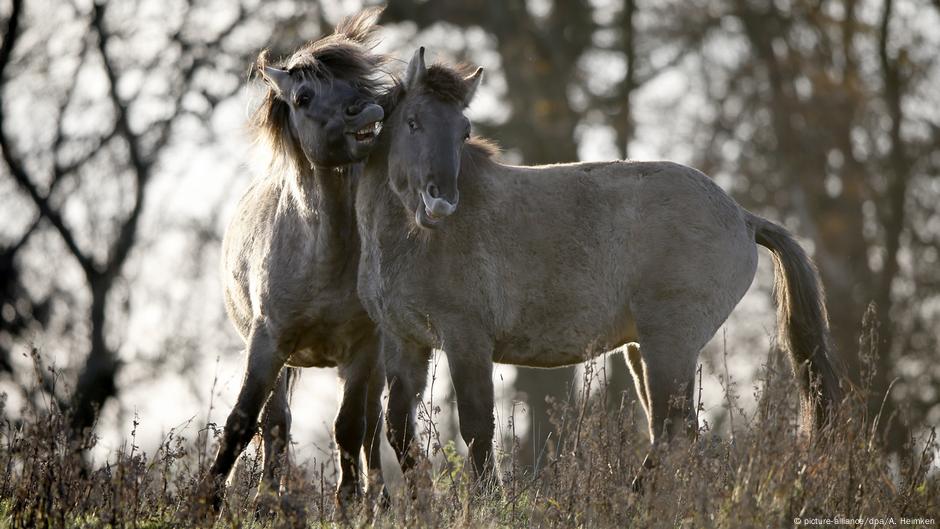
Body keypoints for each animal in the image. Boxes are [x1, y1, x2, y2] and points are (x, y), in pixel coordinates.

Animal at [198, 8, 390, 512]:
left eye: (356, 80)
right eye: (304, 97)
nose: (366, 109)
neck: (322, 257)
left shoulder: (363, 350)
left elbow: (350, 427)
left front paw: (348, 504)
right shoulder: (267, 343)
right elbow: (245, 422)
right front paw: (207, 501)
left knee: (374, 425)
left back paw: (379, 500)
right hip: (281, 358)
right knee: (278, 422)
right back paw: (268, 501)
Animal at [356, 48, 840, 482]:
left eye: (463, 131)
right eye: (413, 122)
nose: (441, 202)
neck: (413, 242)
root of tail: (742, 216)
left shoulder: (466, 340)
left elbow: (477, 432)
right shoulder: (405, 343)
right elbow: (399, 432)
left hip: (670, 344)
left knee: (671, 434)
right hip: (641, 348)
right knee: (675, 435)